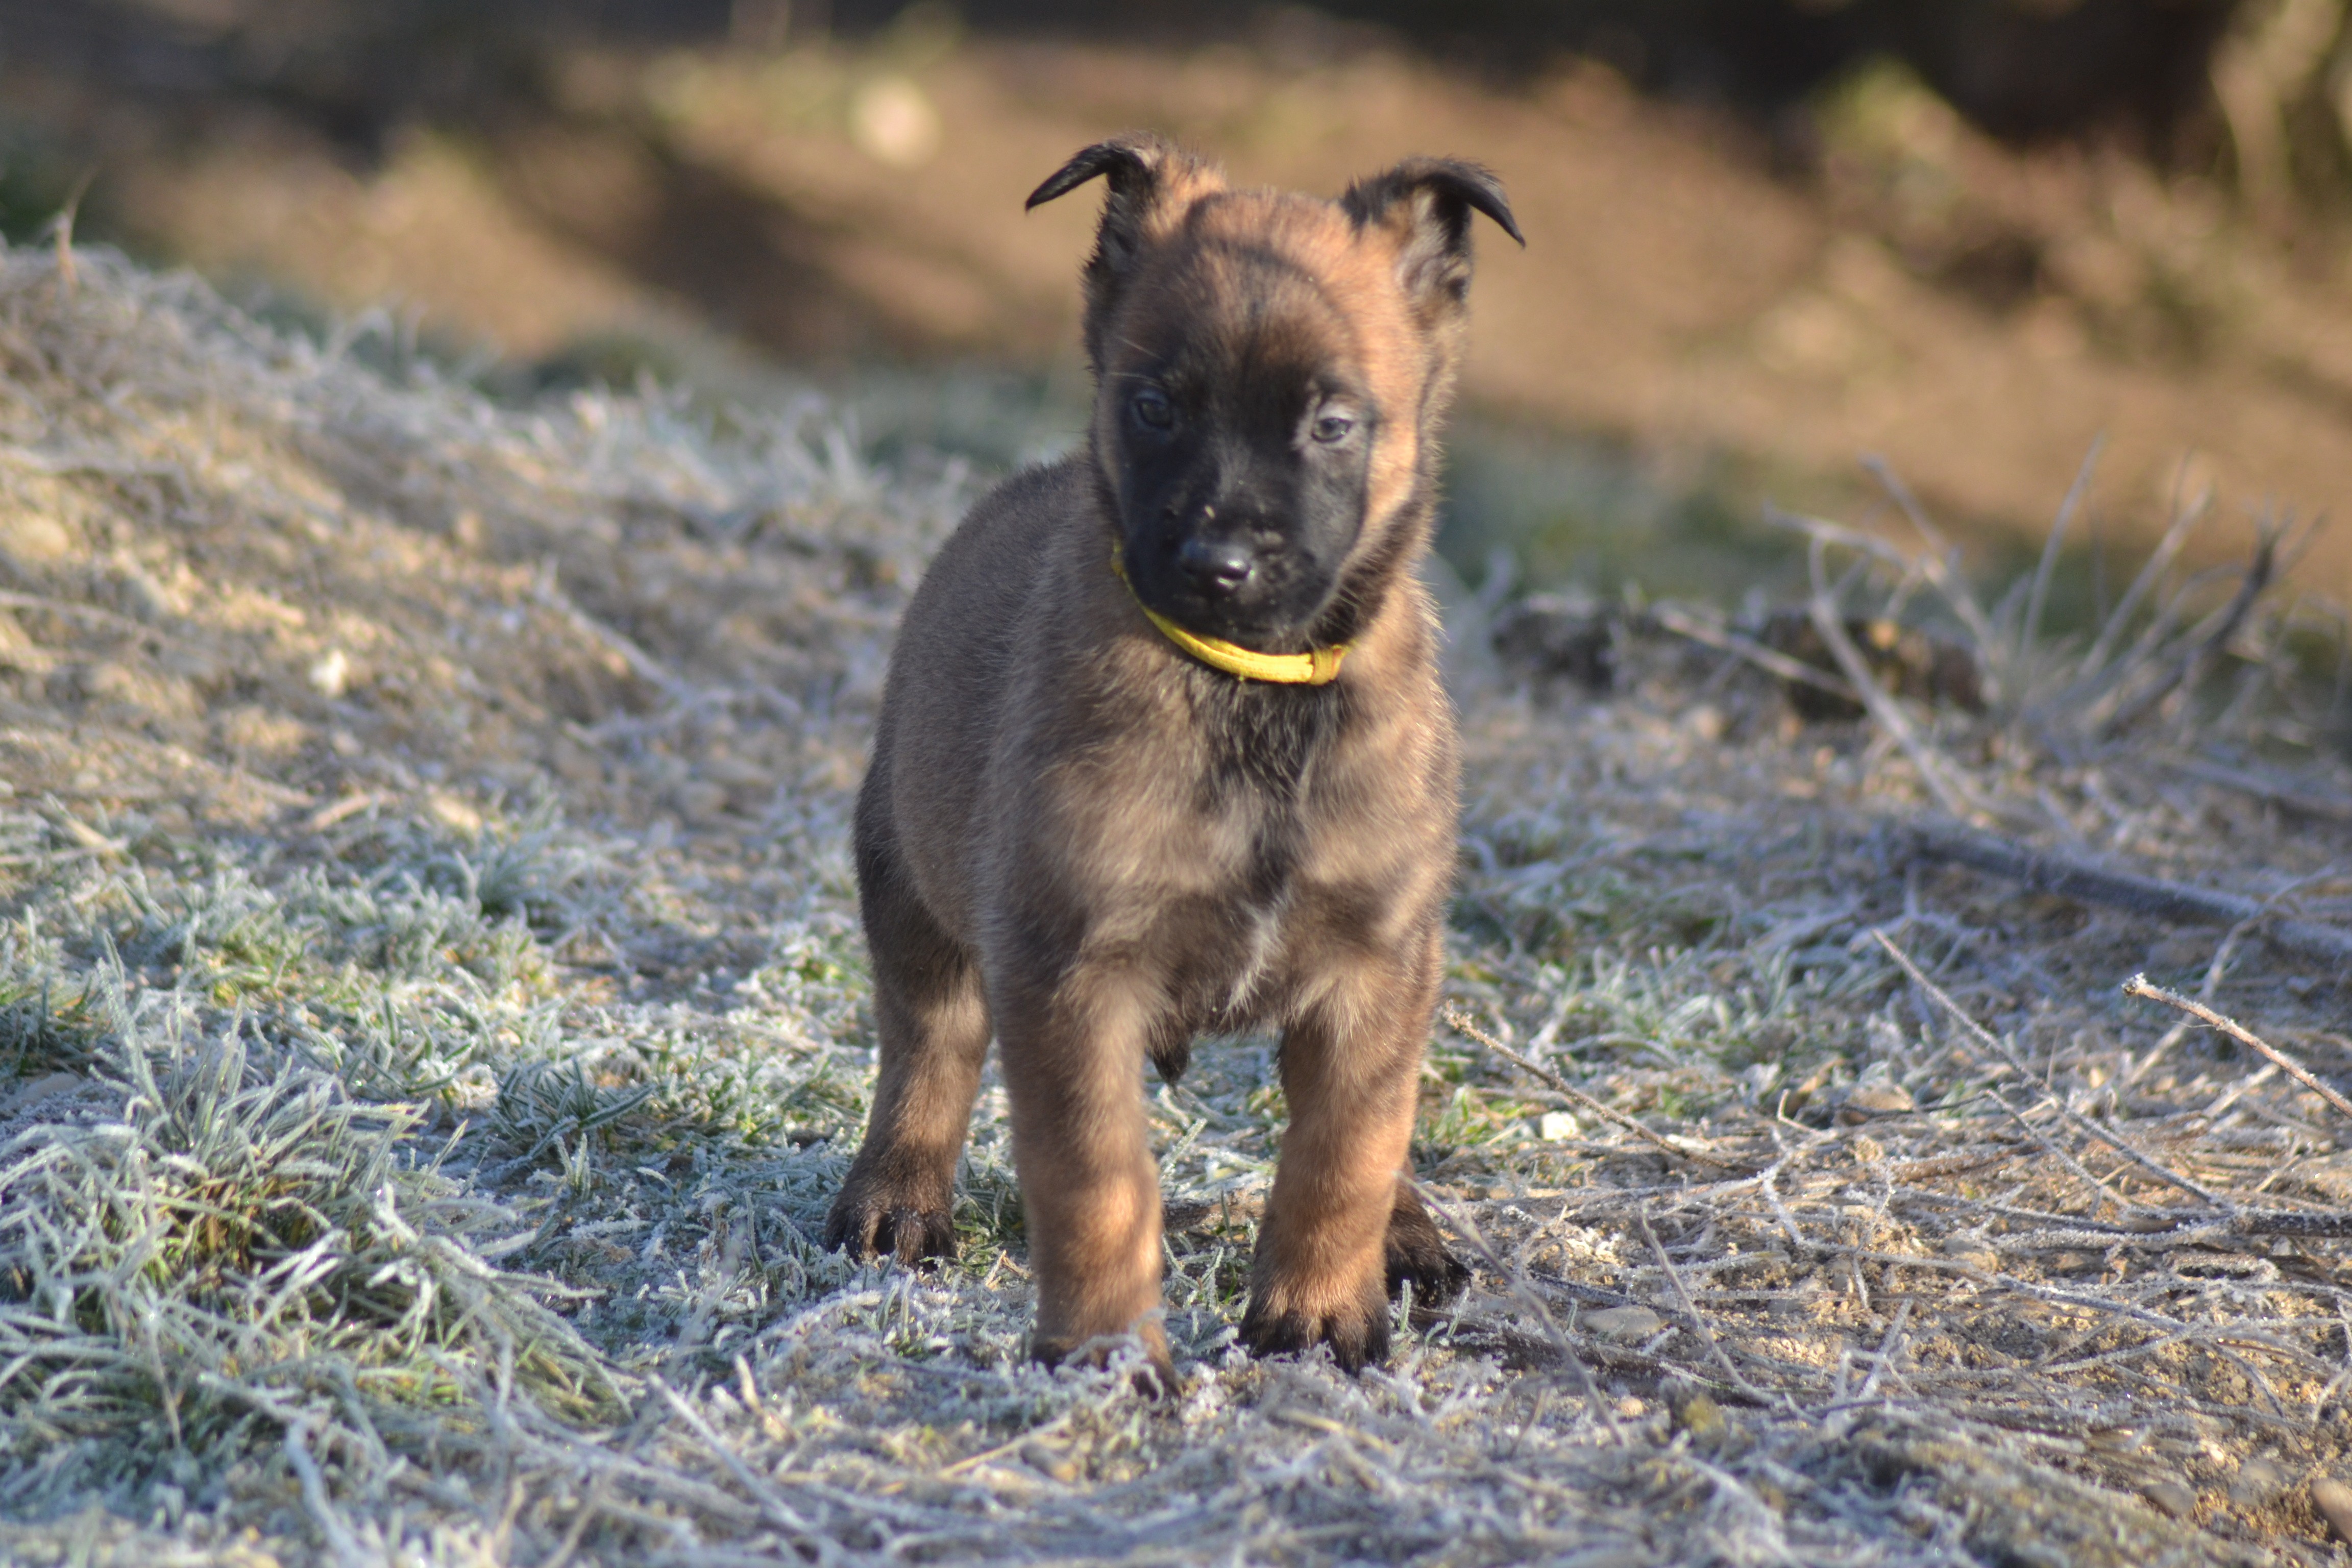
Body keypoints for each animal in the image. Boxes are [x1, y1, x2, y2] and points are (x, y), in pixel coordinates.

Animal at [828, 138, 1524, 1382]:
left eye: (1332, 425)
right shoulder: (1072, 971)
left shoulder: (1375, 965)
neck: (1253, 696)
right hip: (911, 892)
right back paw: (896, 1198)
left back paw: (1406, 1232)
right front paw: (1106, 1353)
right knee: (928, 1047)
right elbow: (1097, 1180)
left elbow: (1347, 1148)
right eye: (1154, 408)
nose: (1218, 564)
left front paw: (1318, 1312)